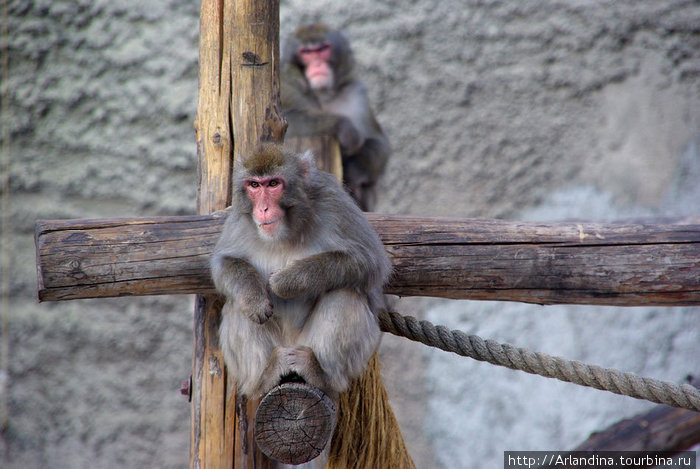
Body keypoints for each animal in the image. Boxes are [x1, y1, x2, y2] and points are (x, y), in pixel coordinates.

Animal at [280, 23, 392, 210]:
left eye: (322, 49)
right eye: (306, 52)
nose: (317, 64)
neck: (323, 95)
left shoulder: (356, 94)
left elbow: (380, 144)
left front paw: (354, 169)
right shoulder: (287, 87)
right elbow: (284, 123)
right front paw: (344, 127)